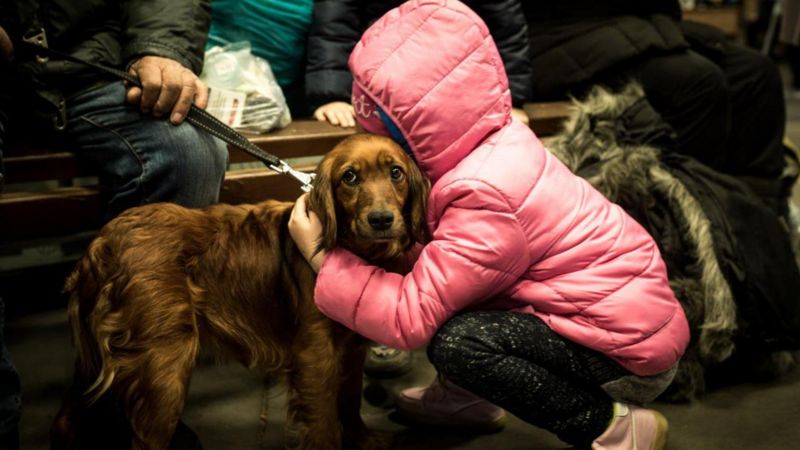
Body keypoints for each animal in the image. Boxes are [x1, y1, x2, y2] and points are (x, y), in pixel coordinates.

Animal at [51, 134, 432, 450]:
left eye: (396, 173)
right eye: (350, 177)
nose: (381, 219)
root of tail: (102, 242)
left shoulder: (352, 349)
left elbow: (350, 401)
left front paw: (364, 439)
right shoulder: (315, 353)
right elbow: (324, 423)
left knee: (68, 415)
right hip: (163, 367)